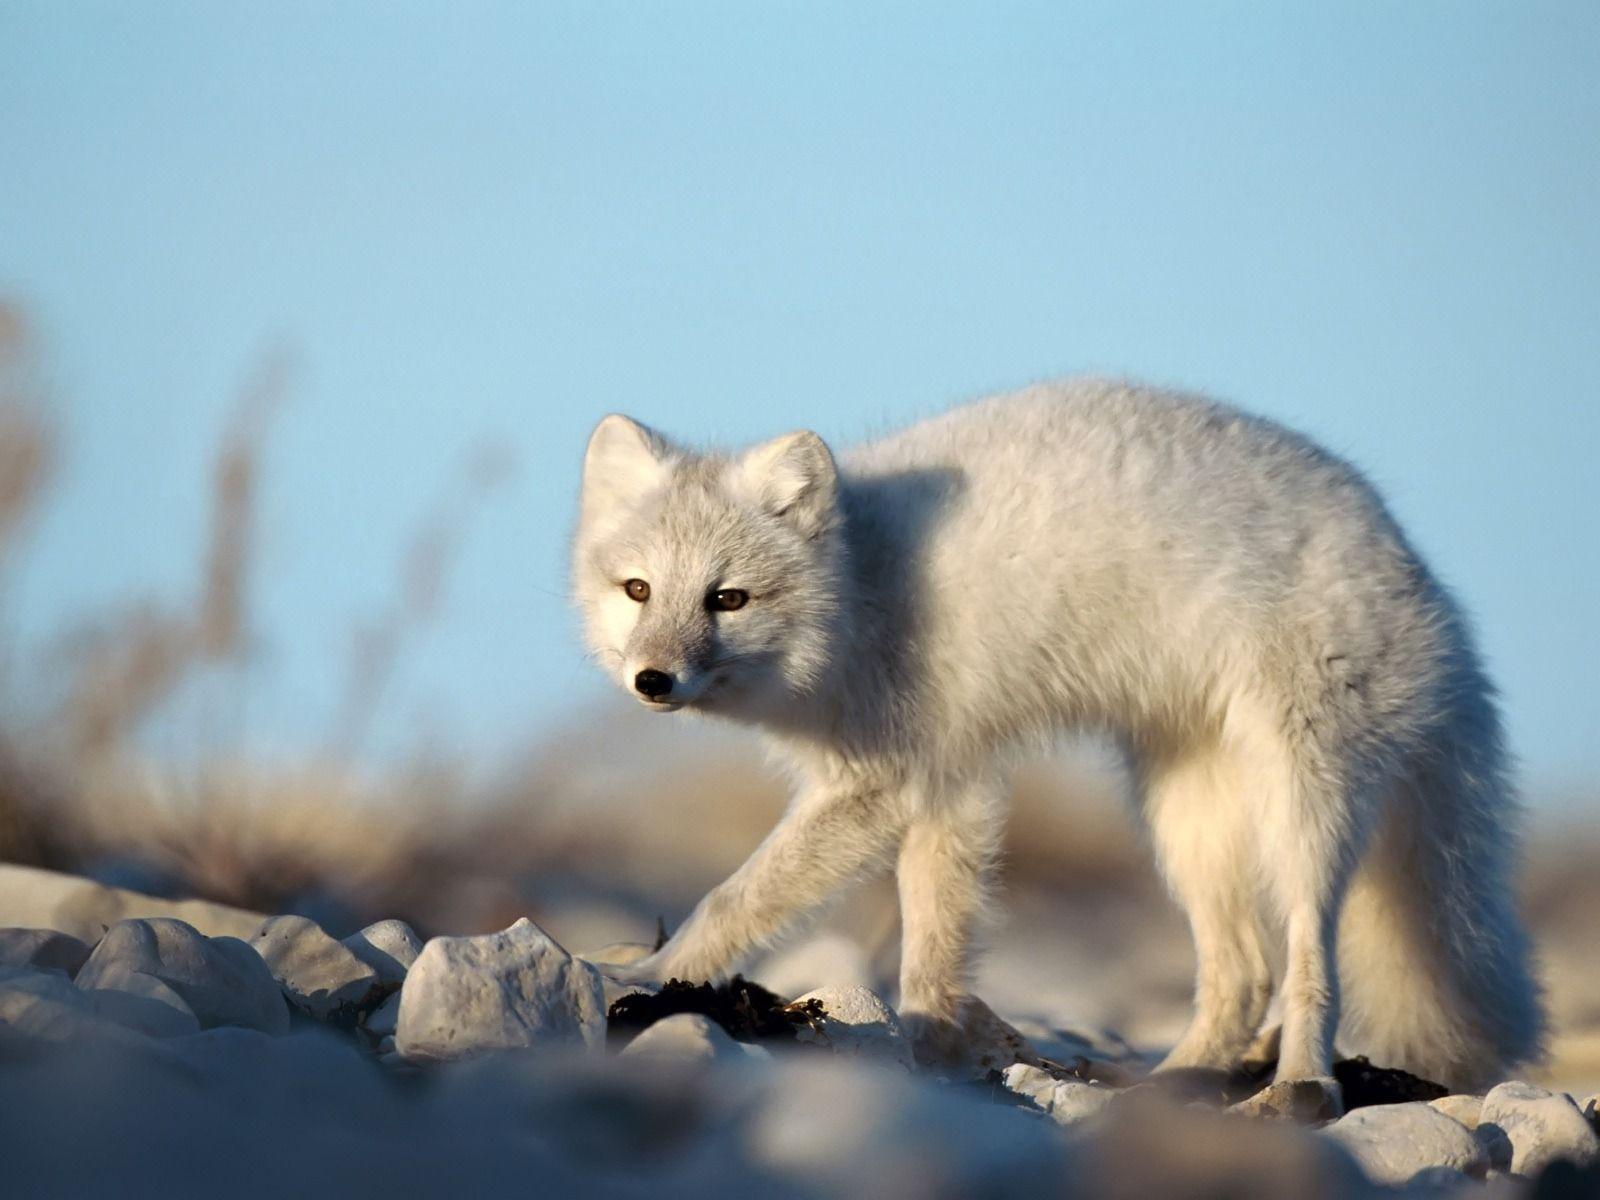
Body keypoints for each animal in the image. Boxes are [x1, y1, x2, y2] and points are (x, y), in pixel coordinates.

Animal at [570, 377, 1544, 1102]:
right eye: (638, 589)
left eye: (727, 599)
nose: (652, 680)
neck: (862, 586)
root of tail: (1419, 574)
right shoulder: (948, 788)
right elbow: (933, 947)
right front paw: (933, 1048)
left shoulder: (891, 786)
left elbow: (731, 899)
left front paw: (651, 975)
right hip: (1185, 820)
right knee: (1241, 975)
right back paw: (1170, 1084)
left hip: (1301, 806)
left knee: (1308, 964)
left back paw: (1300, 1088)